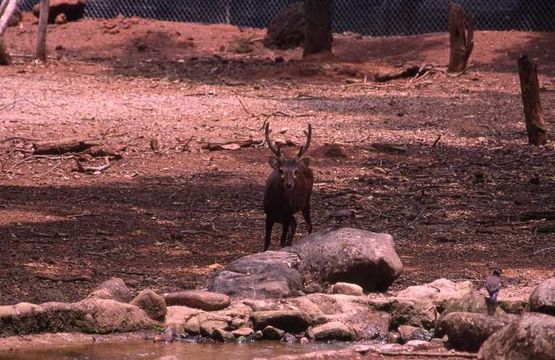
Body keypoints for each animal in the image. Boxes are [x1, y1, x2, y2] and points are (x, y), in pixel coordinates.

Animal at [264, 122, 314, 252]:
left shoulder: (286, 216)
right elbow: (267, 242)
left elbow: (281, 240)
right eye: (281, 170)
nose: (289, 184)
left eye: (295, 171)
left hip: (306, 201)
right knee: (295, 223)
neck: (277, 205)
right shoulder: (268, 215)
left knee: (309, 225)